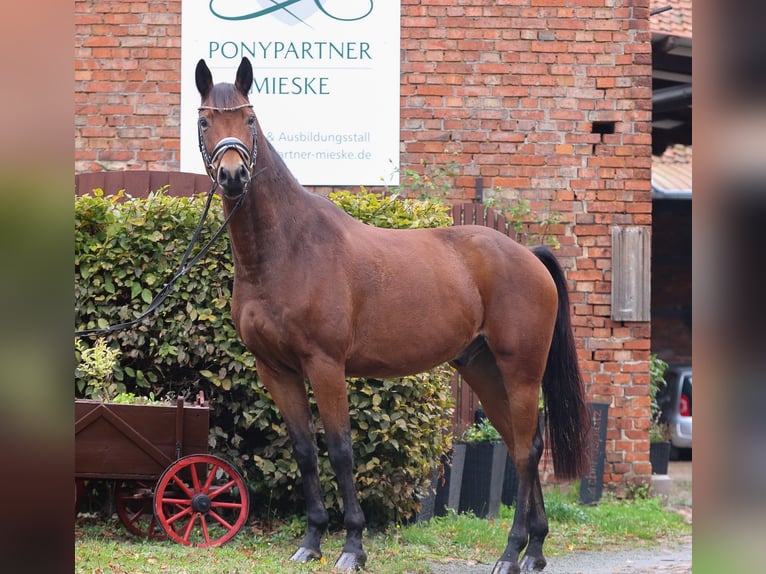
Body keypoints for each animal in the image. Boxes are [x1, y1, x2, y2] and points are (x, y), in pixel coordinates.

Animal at [195, 56, 590, 573]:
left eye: (250, 119)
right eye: (205, 121)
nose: (233, 175)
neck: (288, 247)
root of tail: (528, 254)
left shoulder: (325, 365)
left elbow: (341, 451)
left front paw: (352, 546)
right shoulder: (275, 369)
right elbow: (304, 452)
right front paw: (311, 541)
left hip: (520, 372)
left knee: (525, 451)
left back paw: (511, 552)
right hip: (483, 370)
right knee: (522, 445)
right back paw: (535, 551)